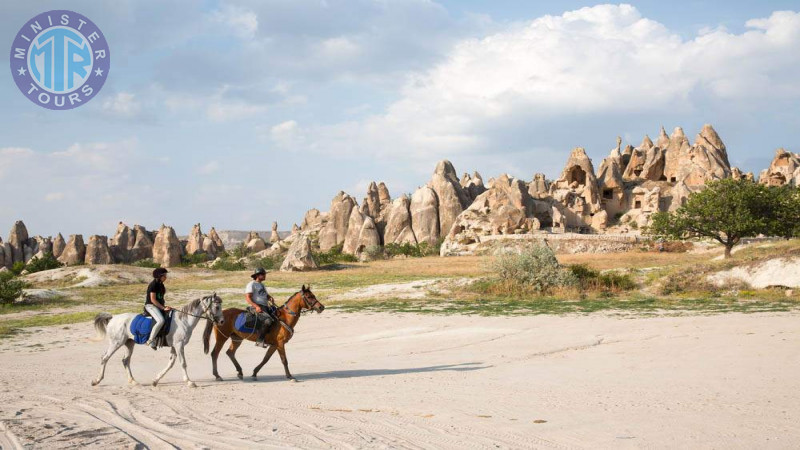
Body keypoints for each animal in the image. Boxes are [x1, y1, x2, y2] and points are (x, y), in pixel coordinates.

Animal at [92, 296, 223, 386]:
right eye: (217, 307)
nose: (222, 321)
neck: (184, 320)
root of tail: (113, 318)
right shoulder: (179, 345)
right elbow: (183, 363)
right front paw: (189, 382)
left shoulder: (174, 346)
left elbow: (170, 364)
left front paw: (155, 380)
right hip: (116, 343)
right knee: (105, 358)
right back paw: (96, 380)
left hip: (129, 344)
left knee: (125, 361)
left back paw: (133, 381)